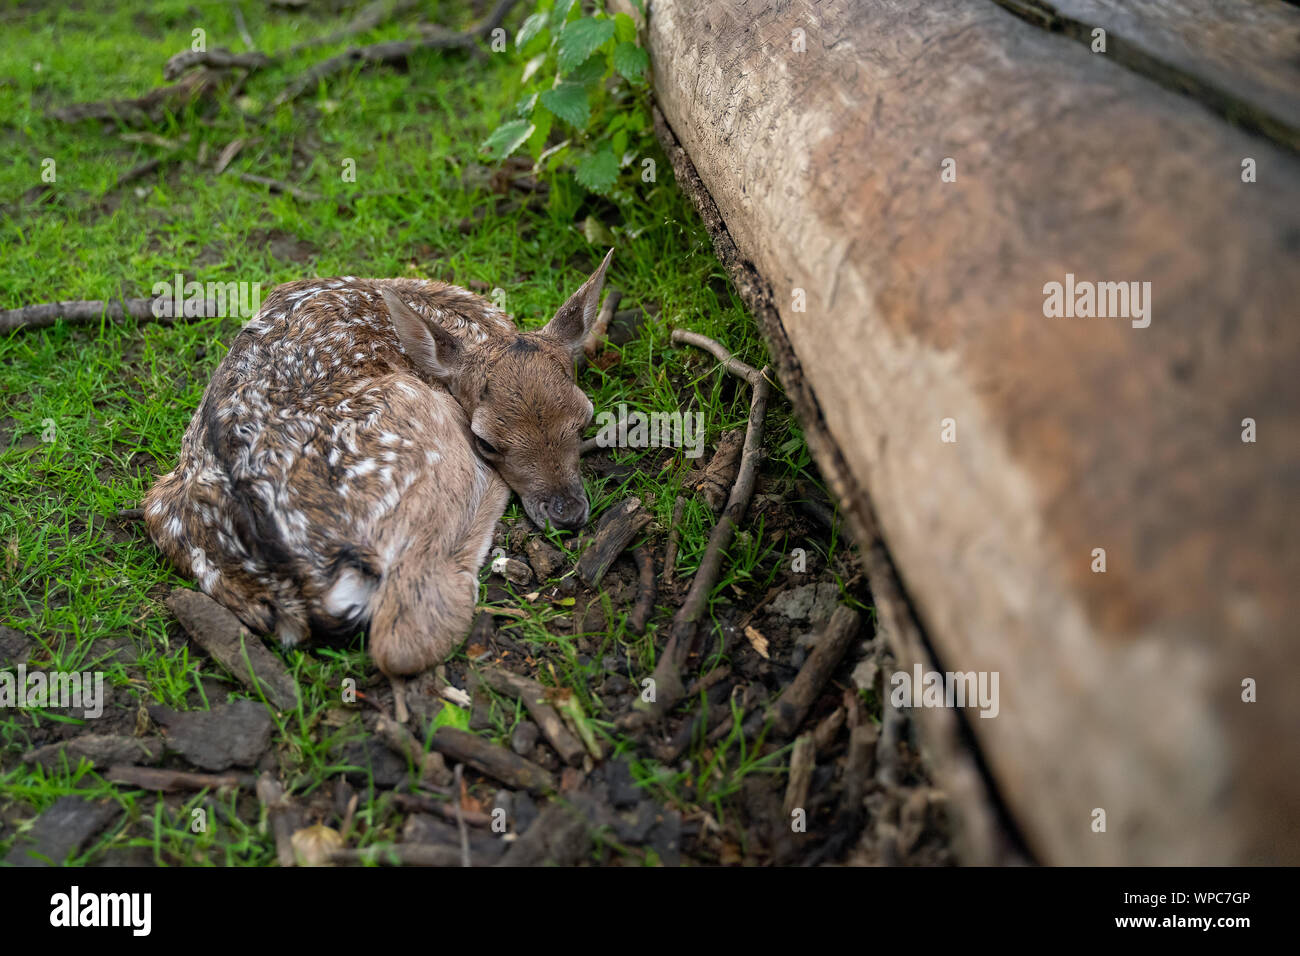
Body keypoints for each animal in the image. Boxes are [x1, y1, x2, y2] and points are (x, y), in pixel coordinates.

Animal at [144, 251, 612, 698]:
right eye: (487, 442)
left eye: (584, 419)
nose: (567, 512)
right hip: (414, 416)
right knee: (403, 634)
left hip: (164, 505)